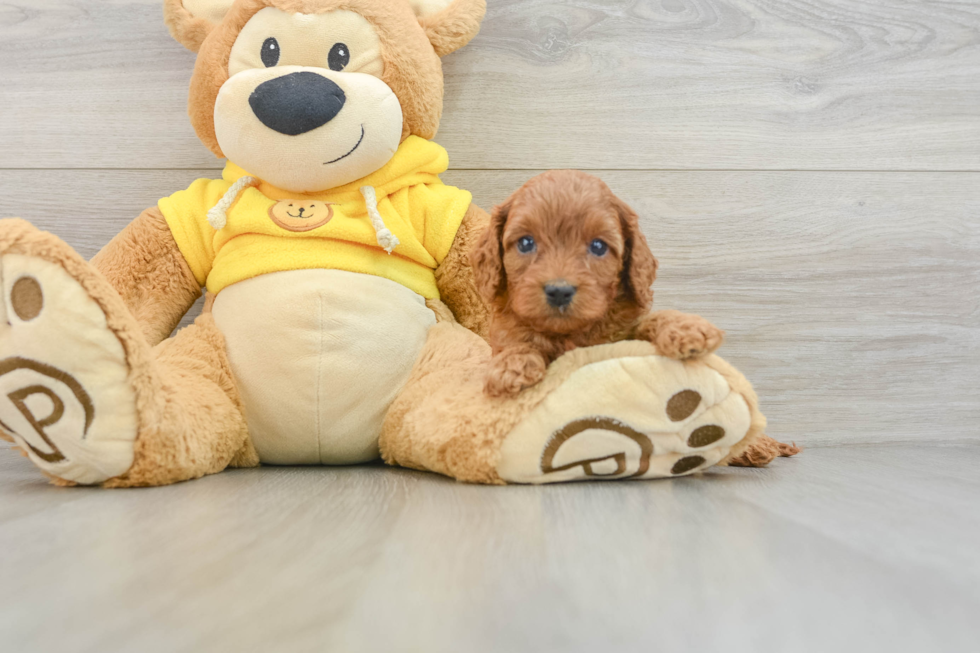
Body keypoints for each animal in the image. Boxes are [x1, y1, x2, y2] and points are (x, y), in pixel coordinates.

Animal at [474, 171, 728, 394]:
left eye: (598, 246)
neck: (568, 334)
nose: (559, 291)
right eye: (526, 243)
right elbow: (515, 340)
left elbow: (650, 320)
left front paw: (687, 328)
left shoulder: (624, 334)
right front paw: (512, 364)